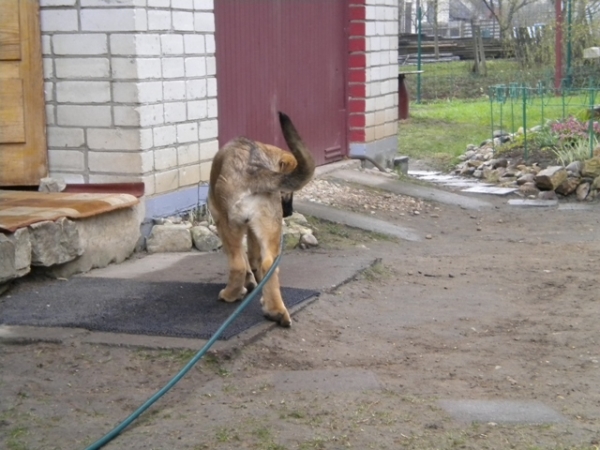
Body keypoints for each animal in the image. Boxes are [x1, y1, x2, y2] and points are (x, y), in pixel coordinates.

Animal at [209, 110, 316, 326]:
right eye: (287, 192)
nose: (289, 212)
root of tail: (253, 170)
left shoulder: (222, 221)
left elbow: (243, 259)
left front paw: (247, 282)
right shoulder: (253, 230)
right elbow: (253, 257)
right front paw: (253, 280)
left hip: (229, 225)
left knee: (237, 264)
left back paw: (231, 294)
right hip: (270, 228)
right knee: (269, 265)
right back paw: (275, 311)